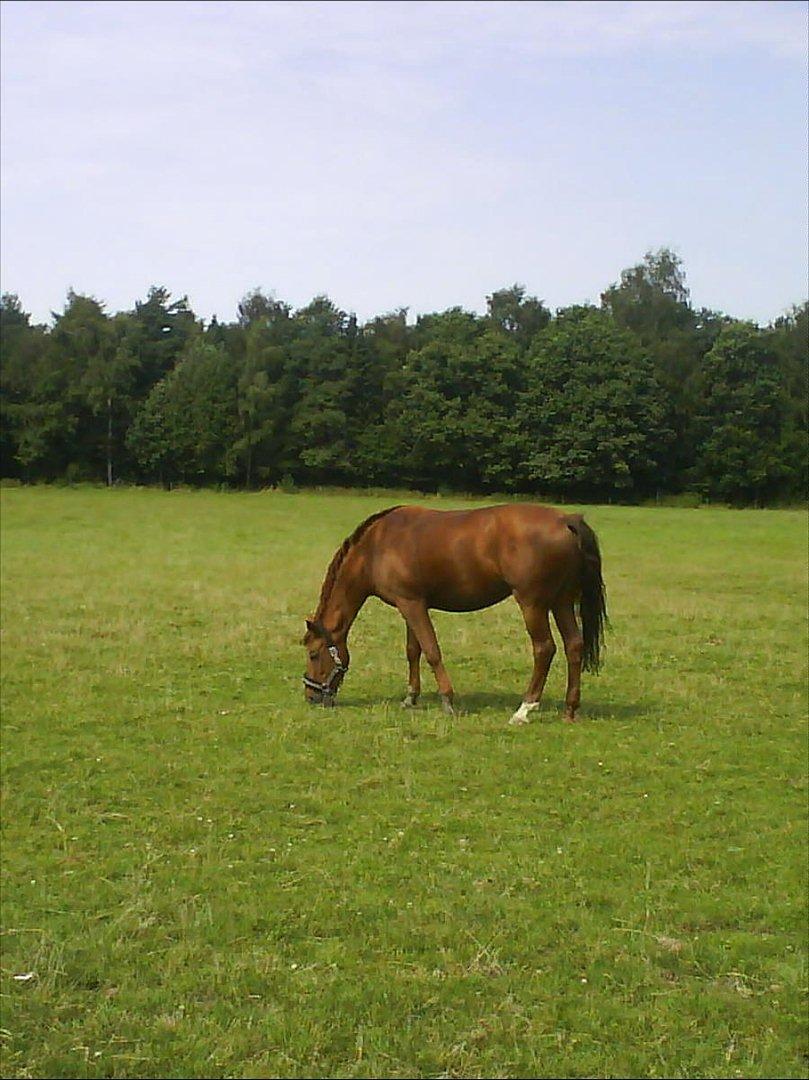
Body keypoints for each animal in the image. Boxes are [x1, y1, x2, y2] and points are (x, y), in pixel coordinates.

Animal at [302, 503, 604, 725]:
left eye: (314, 654)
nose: (311, 696)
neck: (376, 547)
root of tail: (566, 520)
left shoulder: (412, 604)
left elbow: (432, 651)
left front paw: (448, 701)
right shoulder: (410, 604)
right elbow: (413, 651)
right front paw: (411, 698)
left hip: (533, 604)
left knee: (544, 649)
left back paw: (524, 709)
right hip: (562, 602)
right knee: (574, 646)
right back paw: (570, 709)